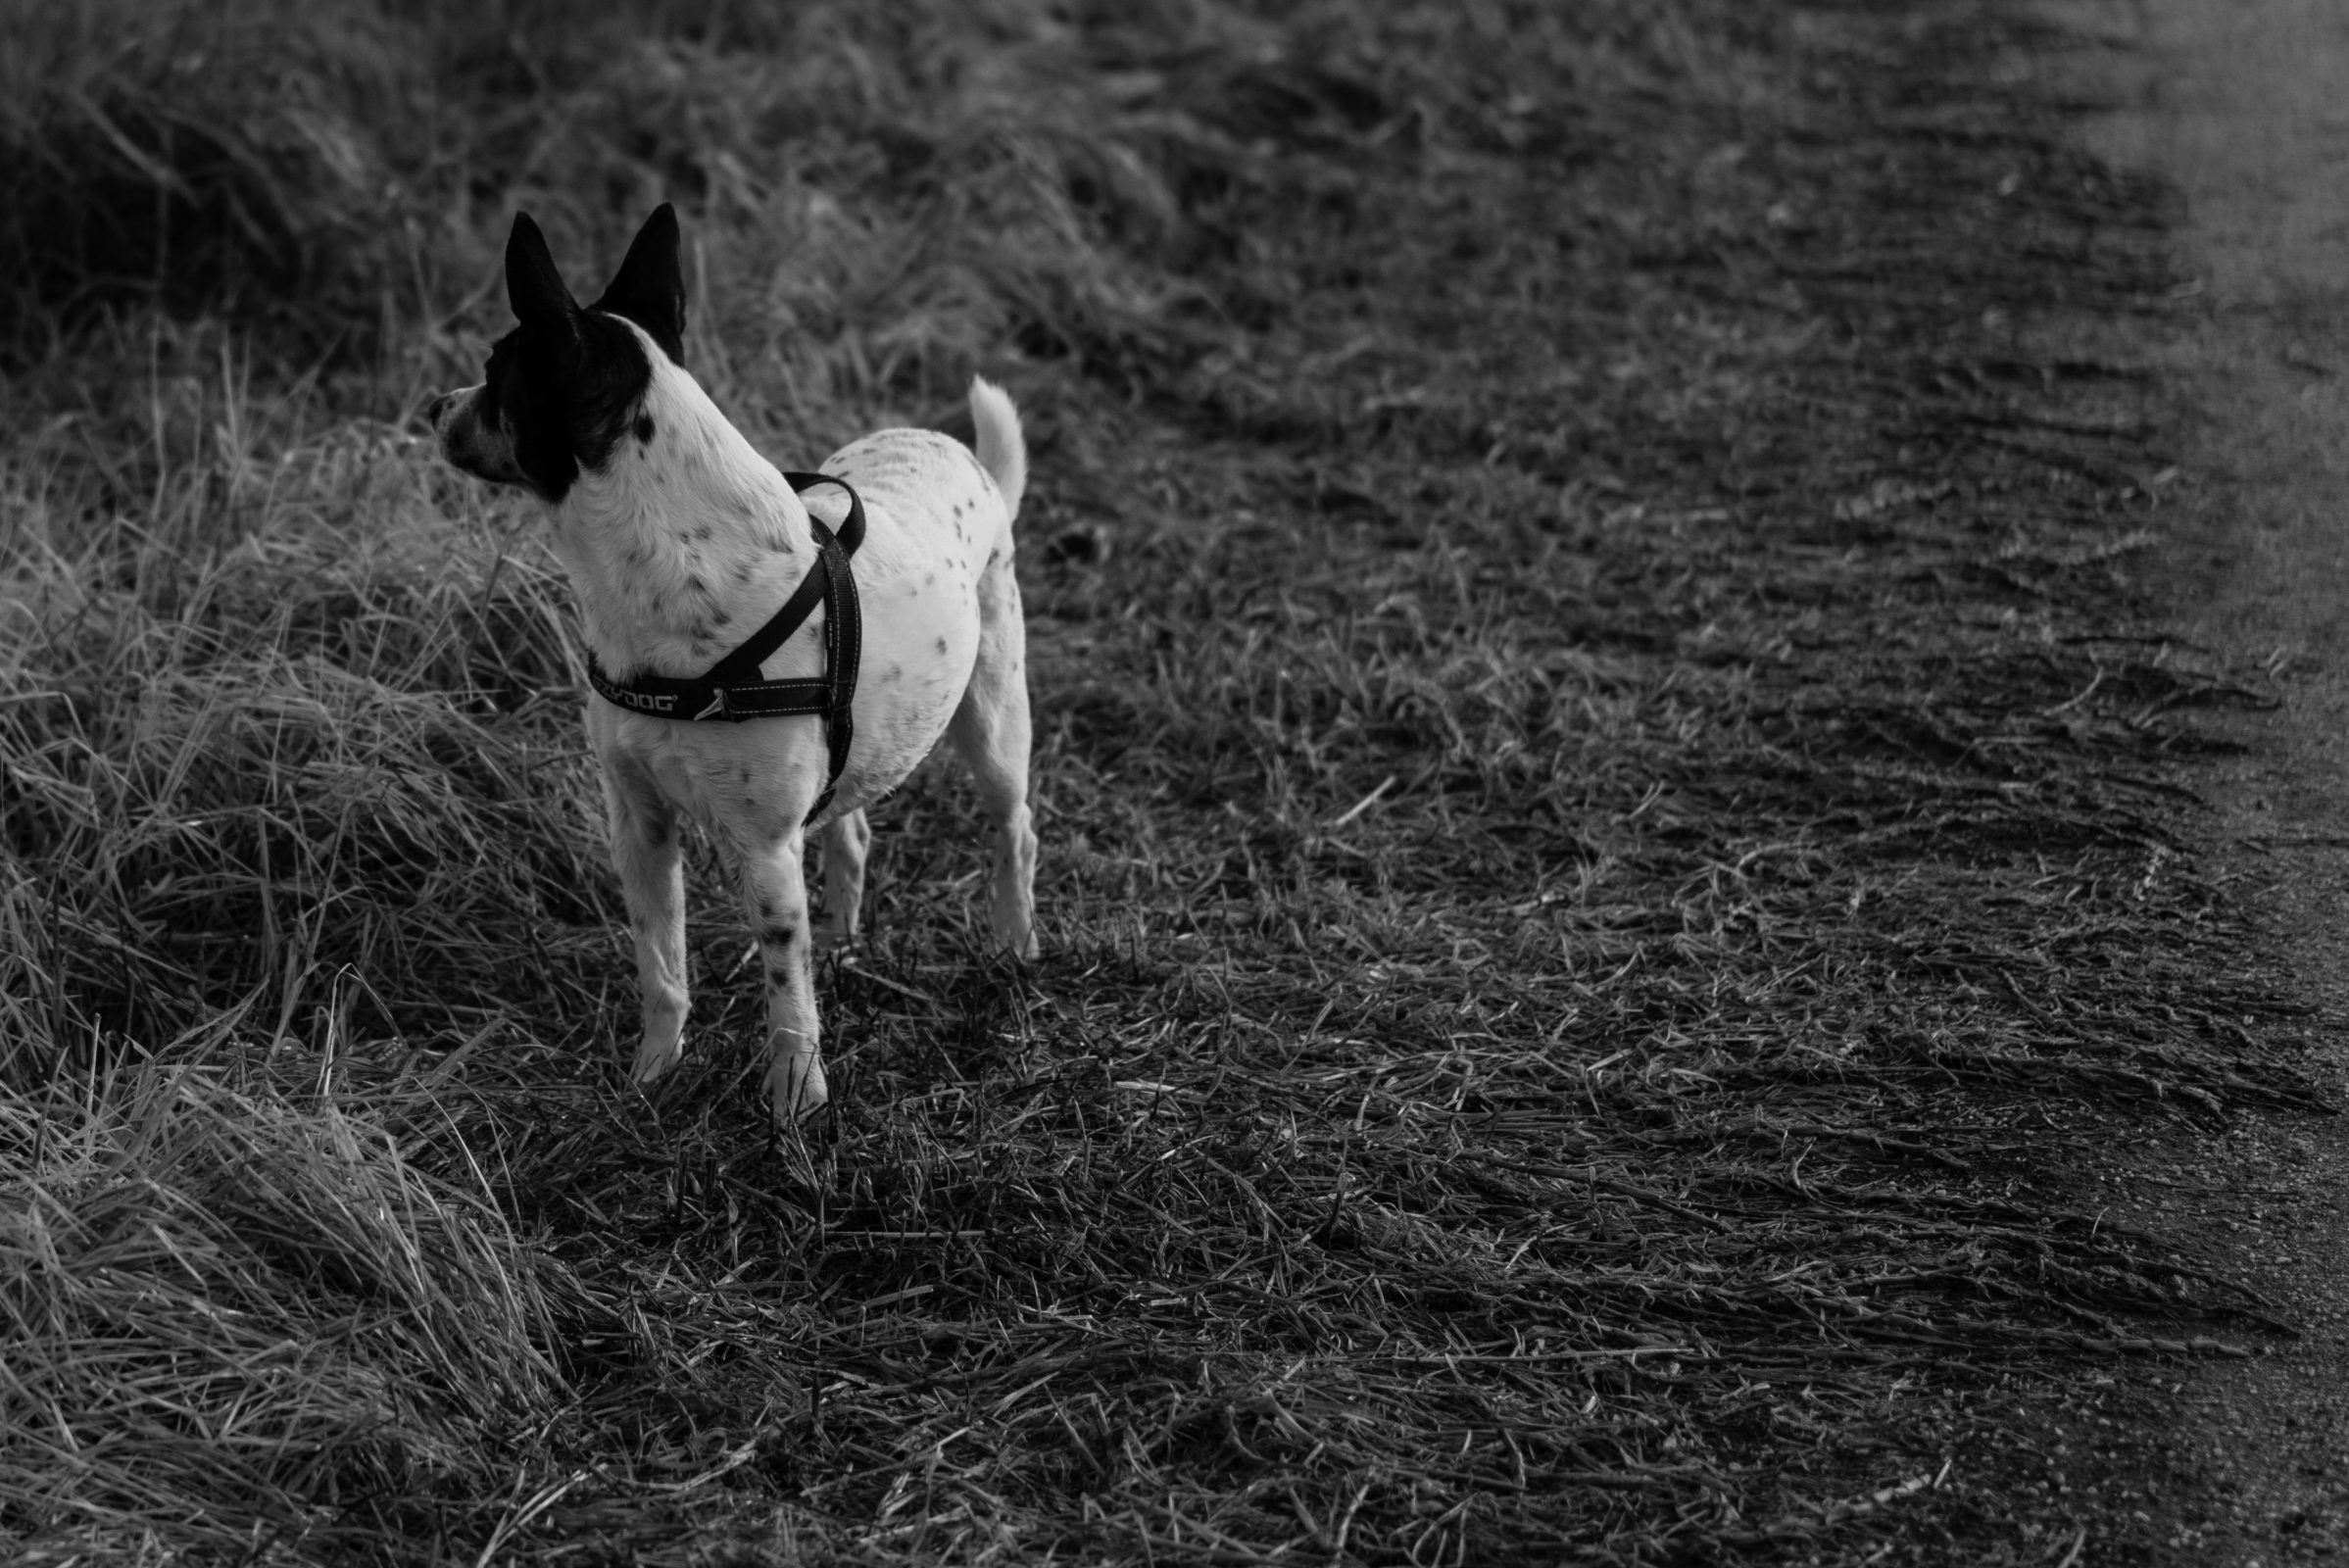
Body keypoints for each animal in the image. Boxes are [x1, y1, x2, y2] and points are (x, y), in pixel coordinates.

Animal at [424, 205, 1048, 1112]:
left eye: (494, 370)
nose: (434, 406)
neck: (667, 570)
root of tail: (957, 452)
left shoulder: (762, 847)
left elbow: (785, 990)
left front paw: (795, 1100)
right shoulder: (639, 825)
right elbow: (661, 966)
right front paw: (653, 1074)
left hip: (994, 721)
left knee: (1013, 829)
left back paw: (1013, 944)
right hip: (854, 746)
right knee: (851, 830)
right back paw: (843, 940)